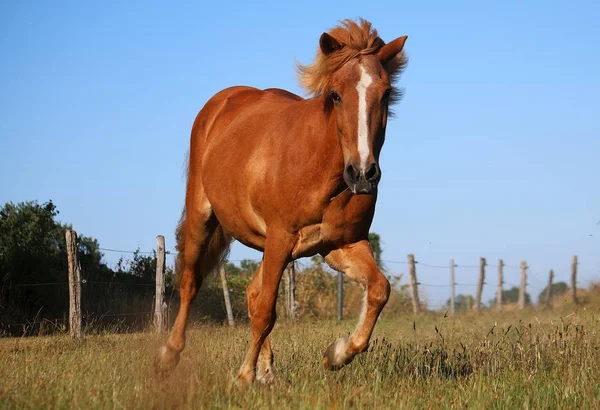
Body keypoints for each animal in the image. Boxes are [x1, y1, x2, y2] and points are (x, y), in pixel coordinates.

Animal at [155, 18, 408, 384]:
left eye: (386, 93)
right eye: (335, 95)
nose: (362, 174)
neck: (319, 168)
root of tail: (222, 102)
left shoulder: (341, 245)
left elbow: (379, 288)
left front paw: (337, 354)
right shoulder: (281, 236)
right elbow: (266, 312)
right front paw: (243, 376)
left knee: (251, 291)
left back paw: (267, 370)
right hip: (204, 216)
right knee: (192, 283)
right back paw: (170, 355)